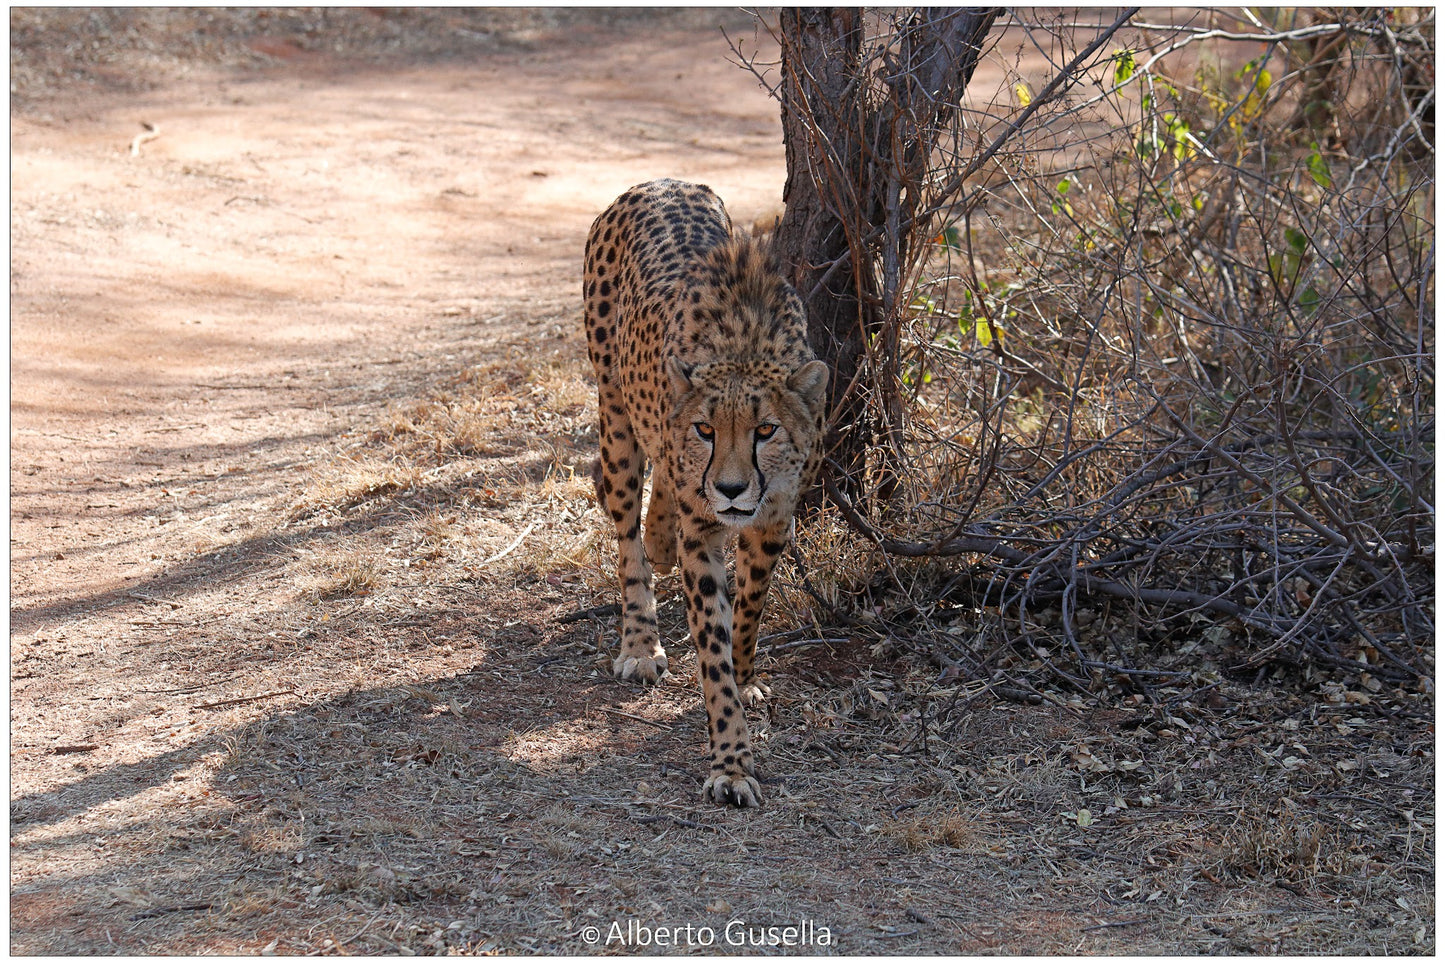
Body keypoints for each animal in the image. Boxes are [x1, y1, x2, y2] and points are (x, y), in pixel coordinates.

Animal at [575, 177, 826, 803]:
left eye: (766, 430)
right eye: (706, 430)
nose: (732, 489)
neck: (743, 344)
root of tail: (658, 182)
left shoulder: (772, 519)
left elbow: (750, 609)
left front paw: (747, 676)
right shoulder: (705, 532)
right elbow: (711, 644)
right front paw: (730, 761)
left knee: (661, 499)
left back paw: (662, 532)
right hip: (614, 412)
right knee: (626, 533)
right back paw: (640, 642)